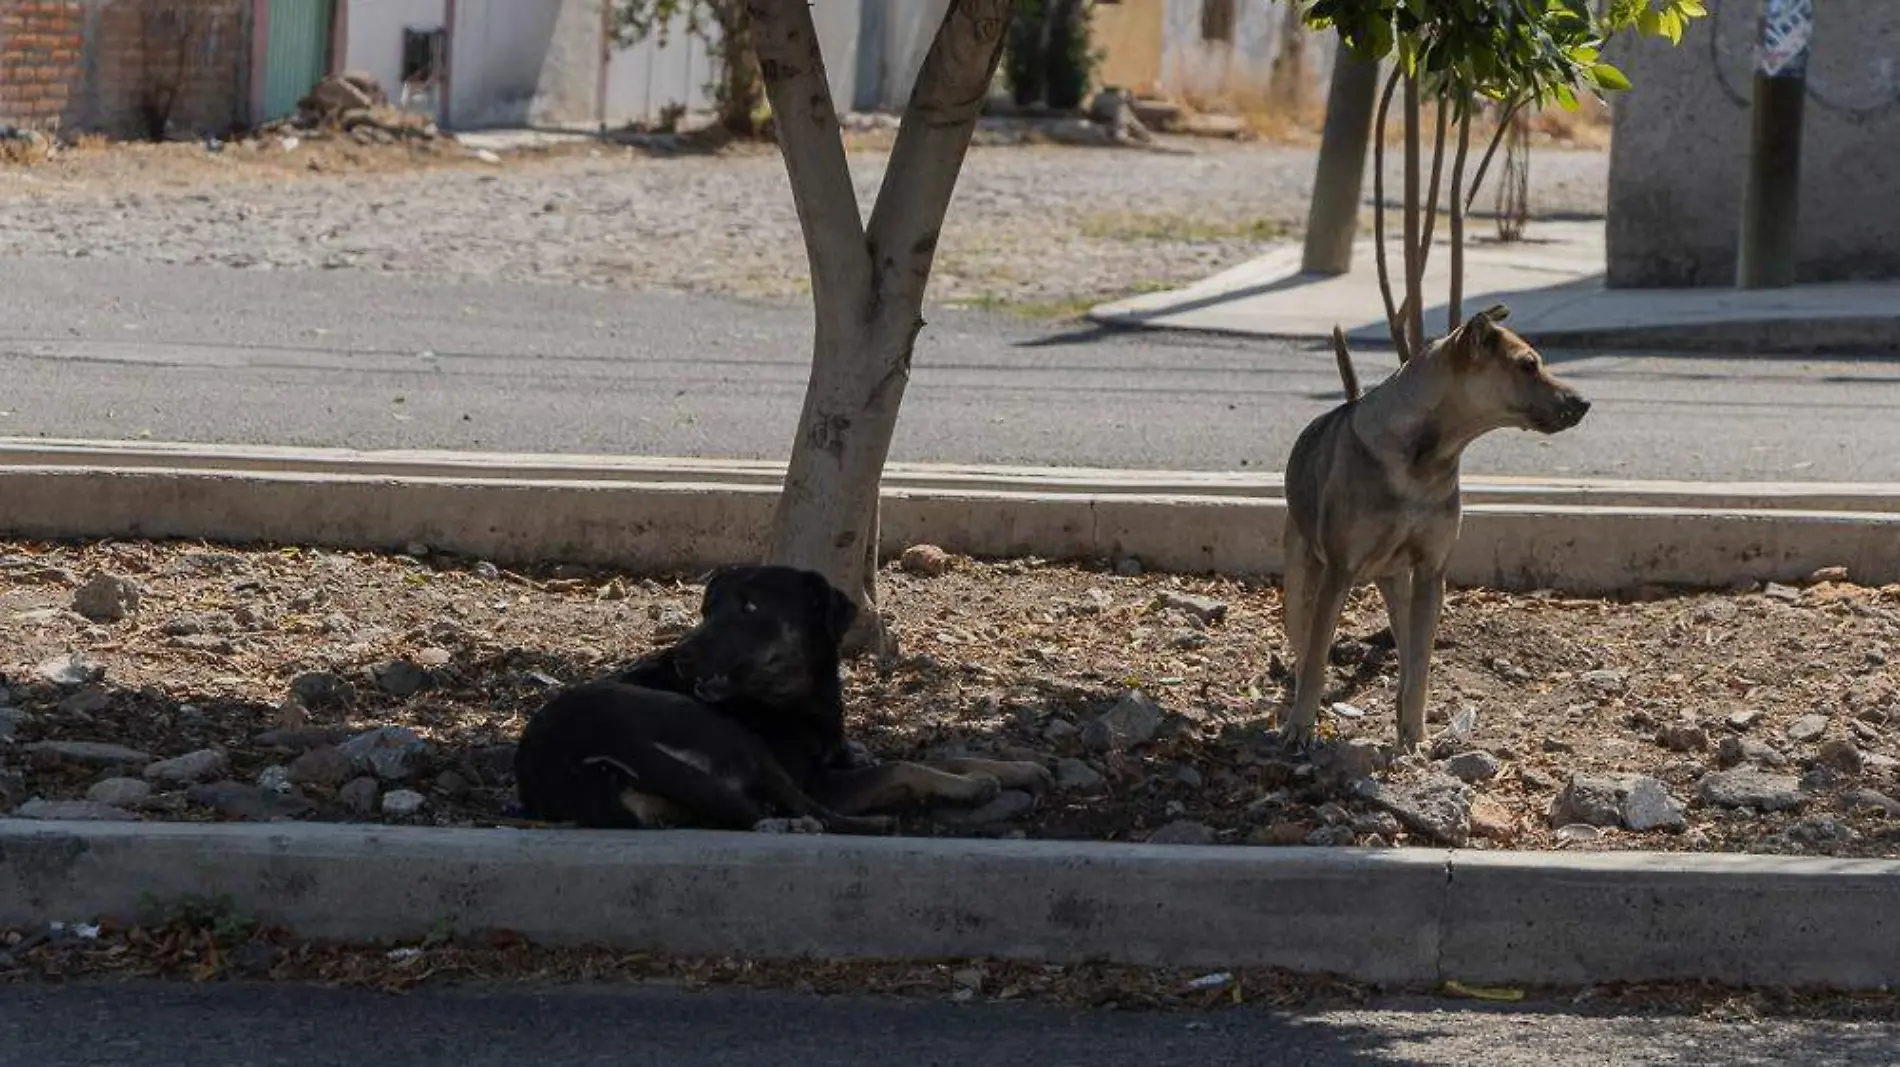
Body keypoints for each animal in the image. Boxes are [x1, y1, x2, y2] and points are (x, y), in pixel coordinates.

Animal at [513, 565, 1048, 831]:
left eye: (749, 607)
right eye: (708, 610)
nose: (682, 657)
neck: (791, 697)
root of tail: (565, 755)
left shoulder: (842, 759)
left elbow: (947, 755)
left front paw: (1019, 768)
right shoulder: (826, 781)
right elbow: (904, 767)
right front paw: (972, 785)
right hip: (730, 740)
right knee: (809, 811)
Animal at [1276, 305, 1588, 748]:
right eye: (1528, 365)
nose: (1584, 403)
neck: (1426, 457)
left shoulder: (1430, 573)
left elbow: (1420, 665)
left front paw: (1414, 735)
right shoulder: (1339, 572)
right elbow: (1317, 657)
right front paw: (1301, 725)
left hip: (1397, 584)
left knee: (1406, 653)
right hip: (1302, 573)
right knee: (1304, 643)